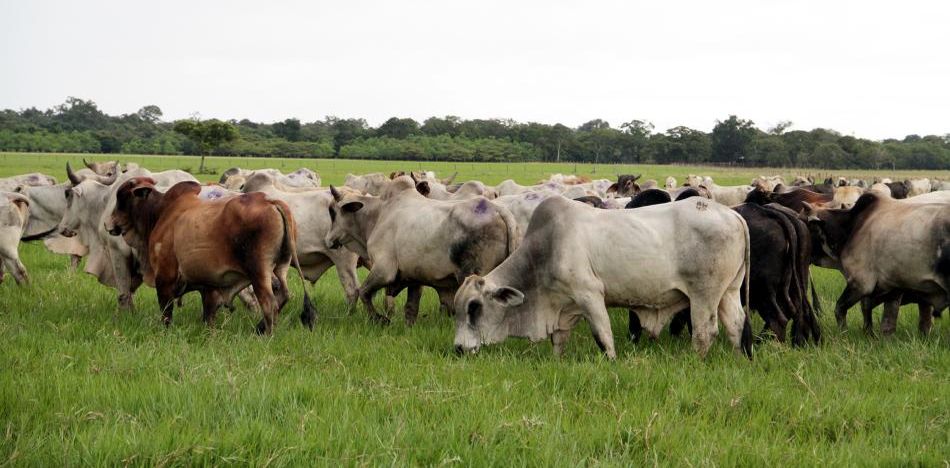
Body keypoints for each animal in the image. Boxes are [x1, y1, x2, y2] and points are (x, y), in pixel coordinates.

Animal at [328, 176, 520, 326]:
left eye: (332, 212)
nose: (328, 240)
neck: (377, 214)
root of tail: (499, 210)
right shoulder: (414, 276)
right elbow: (410, 308)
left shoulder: (384, 270)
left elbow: (363, 292)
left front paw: (381, 320)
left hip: (472, 275)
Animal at [450, 196, 756, 360]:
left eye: (474, 307)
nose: (458, 349)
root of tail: (732, 215)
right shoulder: (564, 305)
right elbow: (558, 340)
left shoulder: (590, 294)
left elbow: (603, 335)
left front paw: (611, 361)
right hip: (728, 292)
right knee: (736, 325)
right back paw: (739, 359)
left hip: (704, 295)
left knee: (705, 332)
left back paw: (695, 361)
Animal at [804, 193, 950, 332]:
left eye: (806, 225)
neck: (853, 227)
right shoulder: (889, 287)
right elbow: (871, 312)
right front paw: (869, 333)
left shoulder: (861, 283)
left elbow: (840, 308)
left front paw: (843, 332)